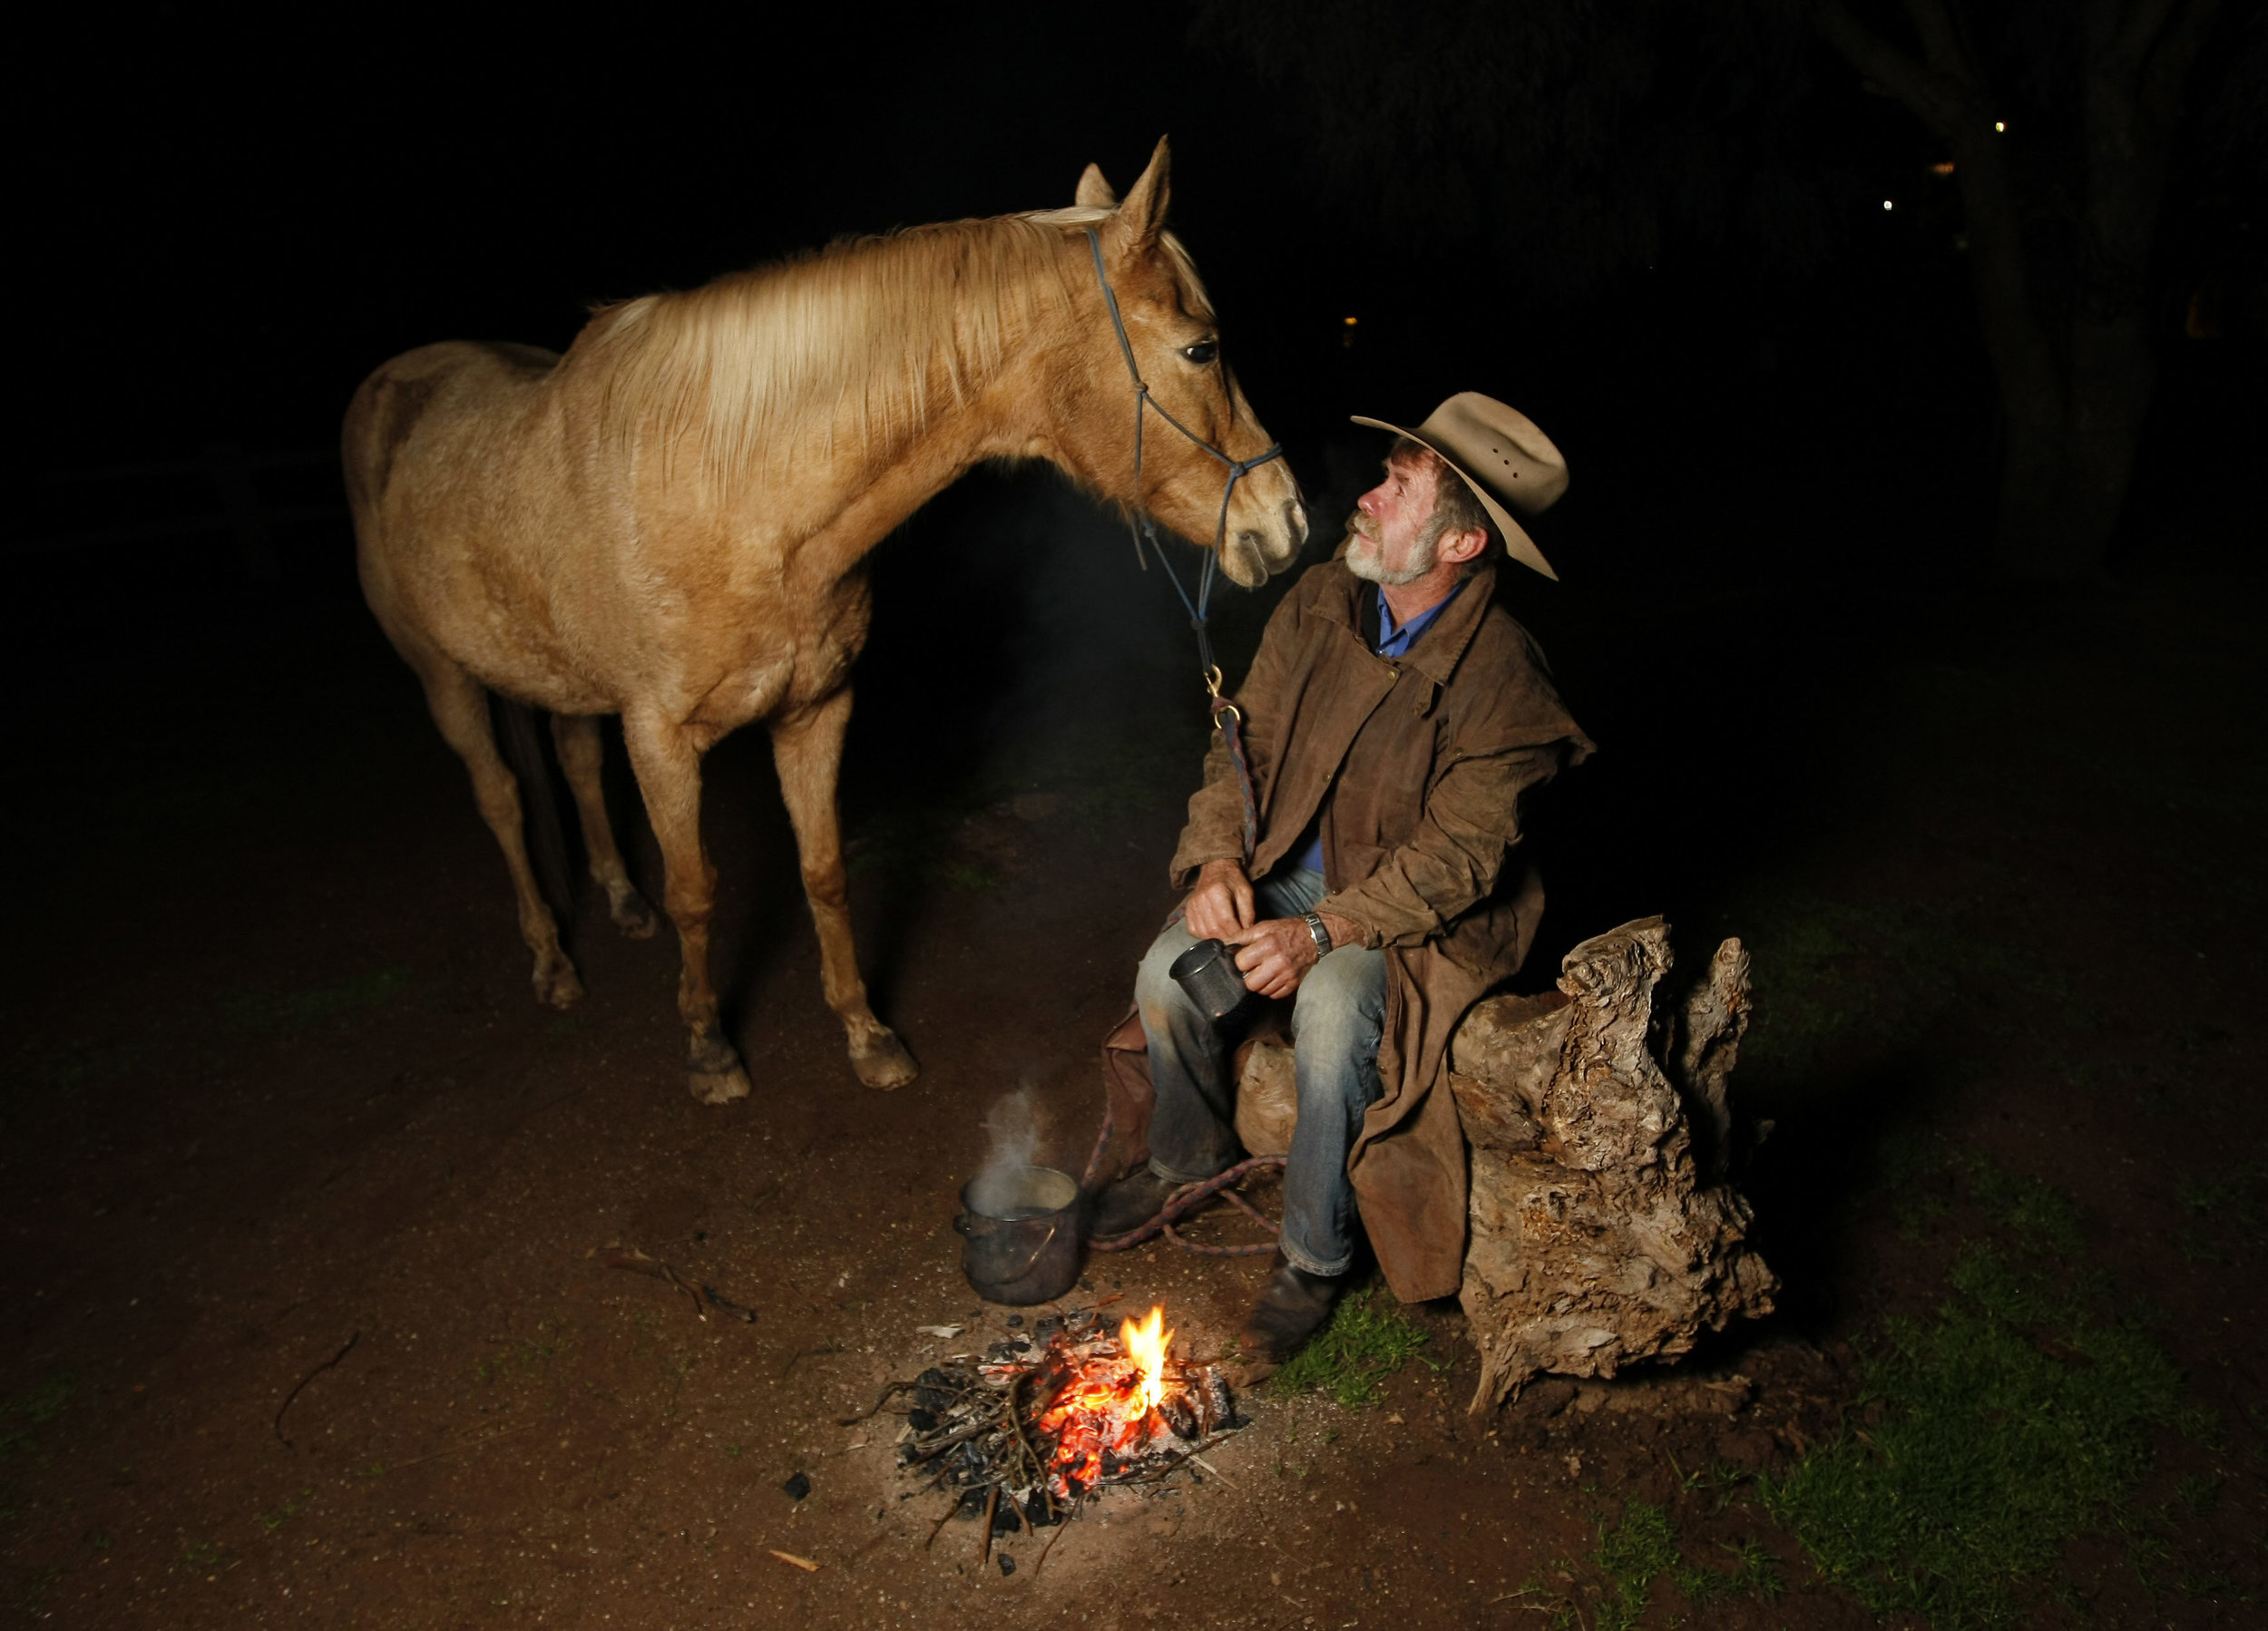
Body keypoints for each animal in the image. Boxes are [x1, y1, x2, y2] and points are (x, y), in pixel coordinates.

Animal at [342, 146, 1306, 1102]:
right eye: (1200, 348)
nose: (1286, 519)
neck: (741, 497)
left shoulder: (814, 711)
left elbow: (825, 871)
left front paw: (864, 1033)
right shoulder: (660, 738)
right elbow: (697, 890)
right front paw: (709, 1046)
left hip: (563, 683)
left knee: (575, 767)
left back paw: (618, 902)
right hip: (447, 681)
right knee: (502, 802)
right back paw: (551, 960)